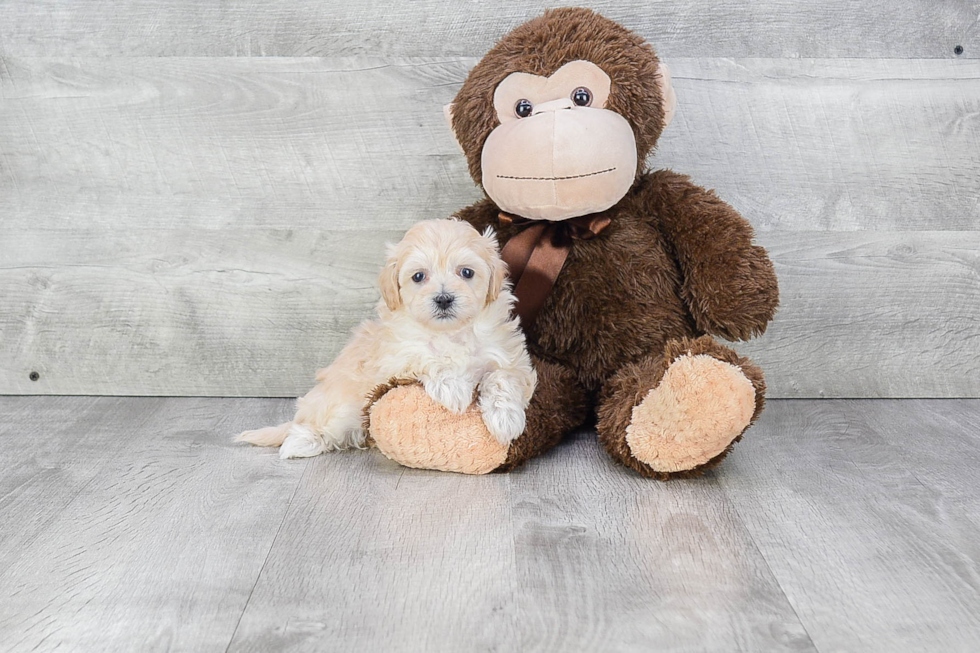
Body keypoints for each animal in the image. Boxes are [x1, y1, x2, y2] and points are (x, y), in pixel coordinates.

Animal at [236, 219, 536, 458]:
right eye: (418, 276)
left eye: (466, 272)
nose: (443, 299)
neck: (450, 333)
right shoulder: (394, 359)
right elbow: (427, 357)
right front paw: (454, 388)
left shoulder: (510, 357)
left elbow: (502, 378)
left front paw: (505, 419)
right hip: (340, 405)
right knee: (318, 426)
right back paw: (301, 442)